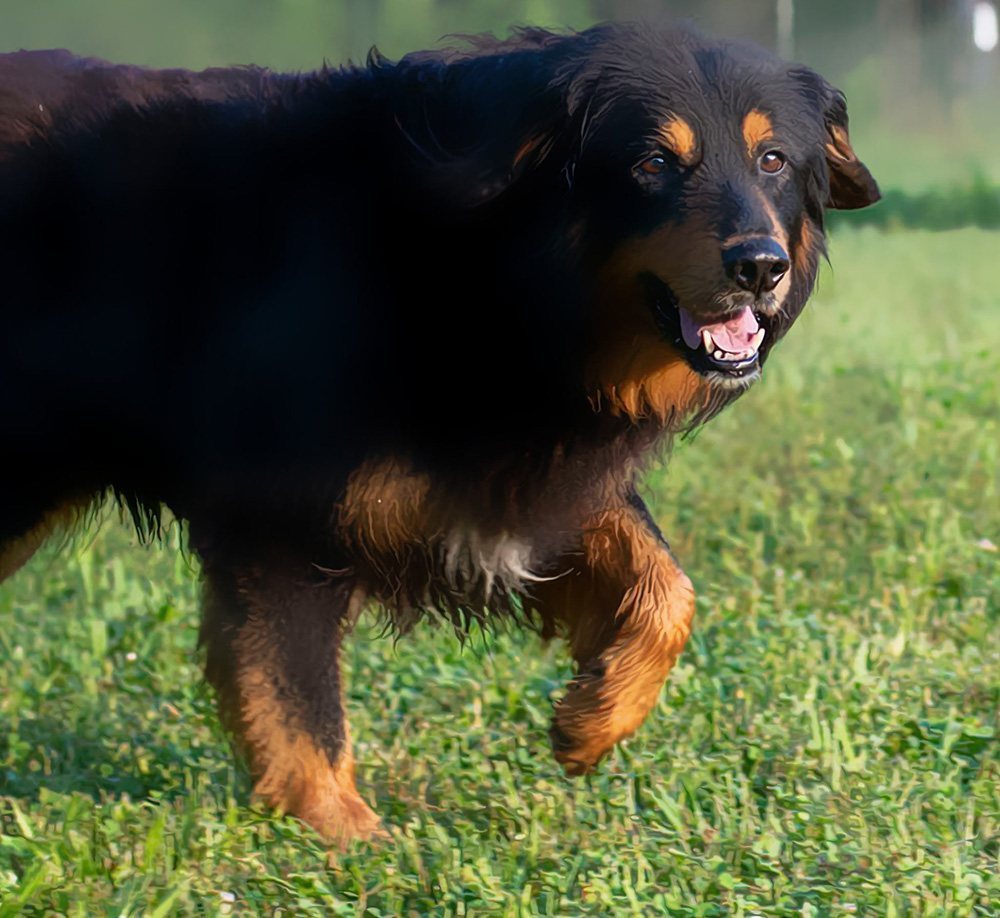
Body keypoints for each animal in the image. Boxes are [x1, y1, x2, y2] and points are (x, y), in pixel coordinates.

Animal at [0, 21, 876, 844]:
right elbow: (296, 694)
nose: (760, 267)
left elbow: (668, 589)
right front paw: (344, 834)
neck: (482, 277)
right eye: (654, 163)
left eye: (772, 159)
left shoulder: (520, 478)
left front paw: (594, 720)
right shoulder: (280, 511)